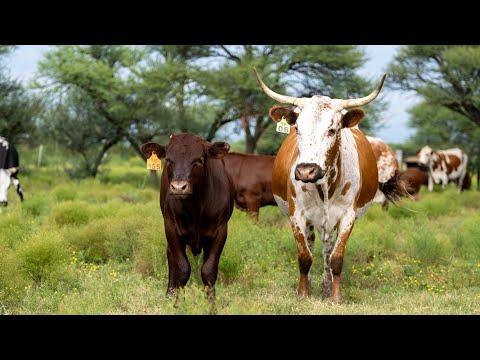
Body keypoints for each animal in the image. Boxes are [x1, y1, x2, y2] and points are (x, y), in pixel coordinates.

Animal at [253, 68, 406, 304]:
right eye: (297, 129)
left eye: (332, 130)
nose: (306, 171)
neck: (324, 186)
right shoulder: (297, 215)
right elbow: (304, 256)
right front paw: (303, 294)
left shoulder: (347, 216)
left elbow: (336, 258)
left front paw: (335, 297)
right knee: (312, 245)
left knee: (327, 250)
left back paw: (325, 287)